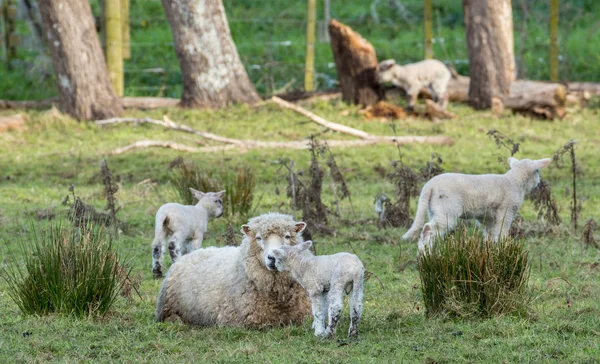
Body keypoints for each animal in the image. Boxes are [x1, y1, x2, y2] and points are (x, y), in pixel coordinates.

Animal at [400, 156, 552, 253]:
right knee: (428, 229)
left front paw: (490, 250)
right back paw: (424, 255)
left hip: (434, 209)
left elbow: (489, 234)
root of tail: (429, 186)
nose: (538, 183)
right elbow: (501, 232)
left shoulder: (488, 217)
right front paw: (502, 247)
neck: (514, 181)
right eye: (537, 171)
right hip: (447, 210)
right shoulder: (506, 211)